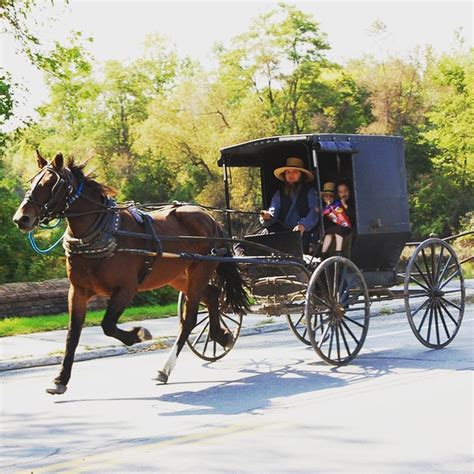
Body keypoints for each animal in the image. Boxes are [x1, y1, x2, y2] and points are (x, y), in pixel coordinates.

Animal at [12, 152, 248, 392]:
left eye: (51, 183)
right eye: (32, 182)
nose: (21, 218)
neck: (102, 232)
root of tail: (209, 217)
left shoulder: (126, 289)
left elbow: (107, 325)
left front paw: (137, 335)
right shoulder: (77, 291)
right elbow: (72, 334)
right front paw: (60, 379)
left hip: (200, 270)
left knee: (189, 319)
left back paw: (165, 369)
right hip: (178, 275)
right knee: (211, 296)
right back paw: (221, 335)